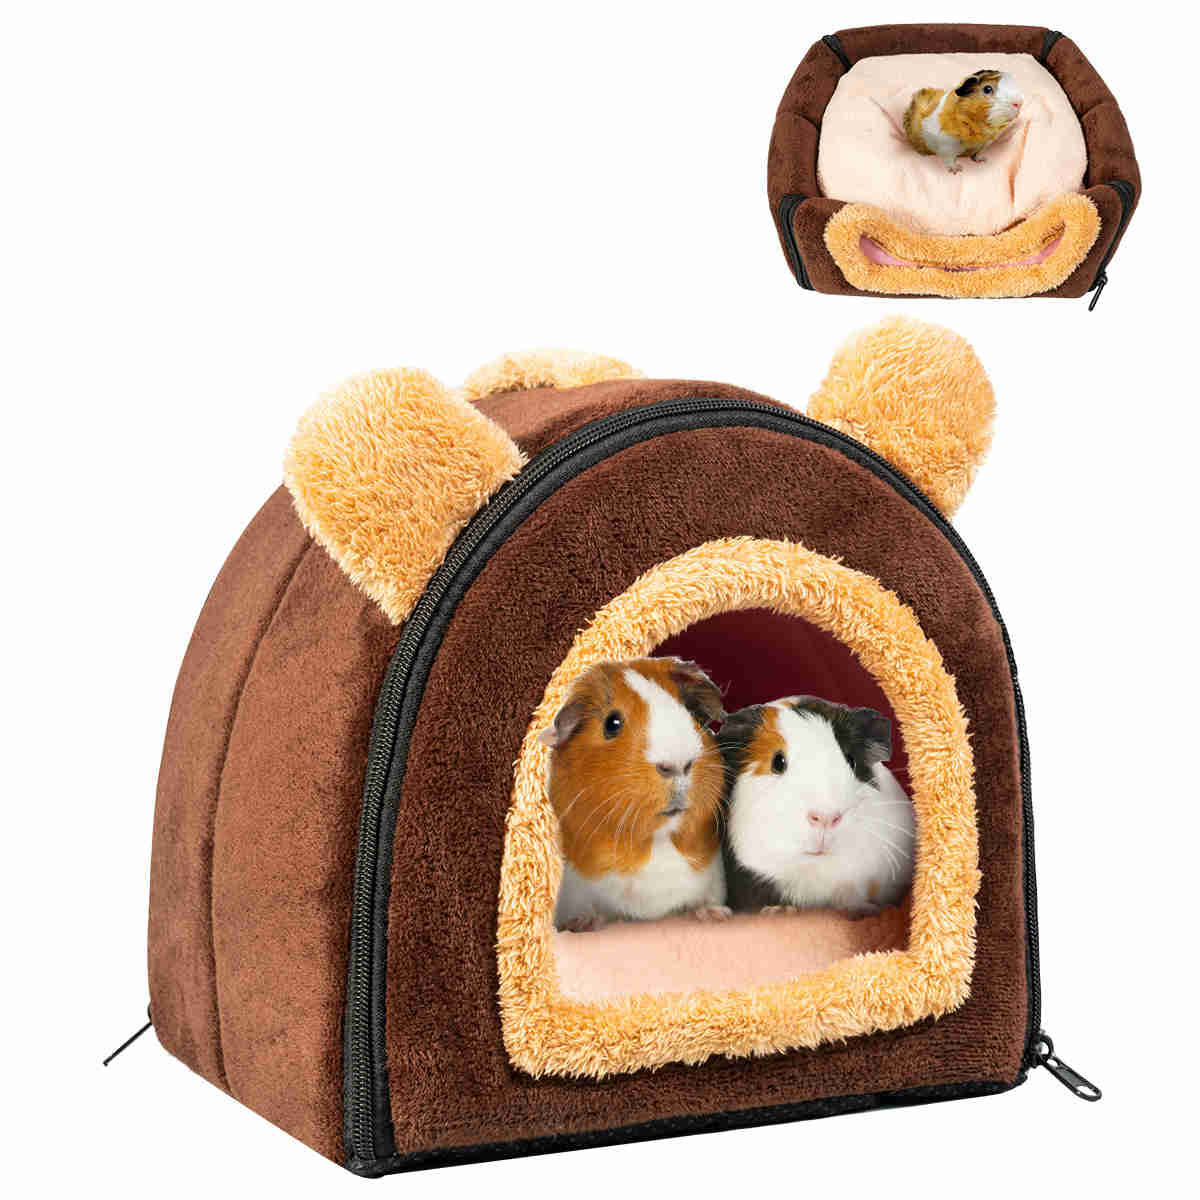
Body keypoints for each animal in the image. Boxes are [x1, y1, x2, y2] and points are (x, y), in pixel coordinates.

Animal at [540, 657, 729, 931]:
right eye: (612, 723)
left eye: (691, 712)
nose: (677, 764)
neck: (654, 844)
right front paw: (582, 924)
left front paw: (716, 915)